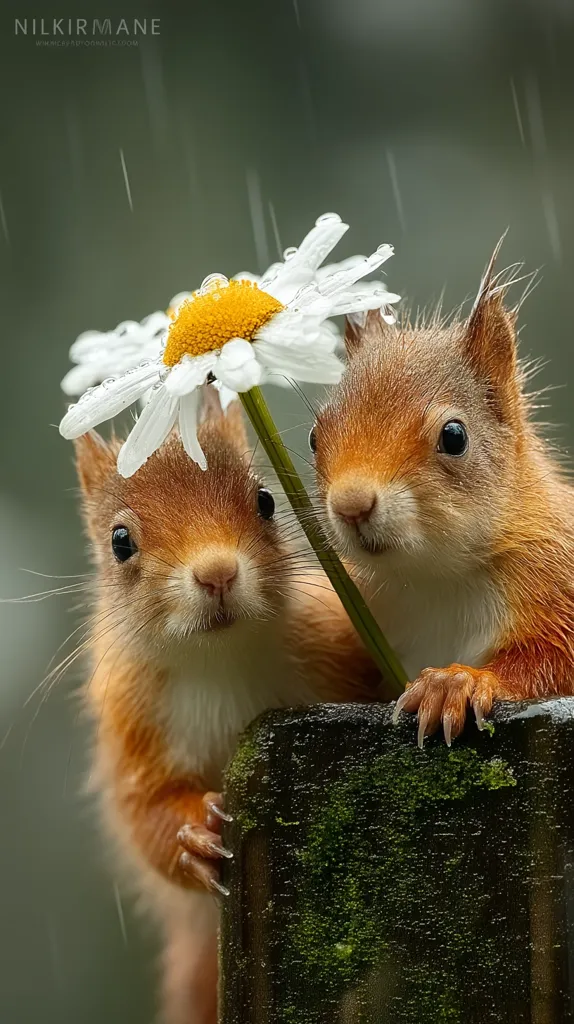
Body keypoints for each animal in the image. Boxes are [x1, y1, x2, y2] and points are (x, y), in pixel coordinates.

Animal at [73, 390, 379, 1024]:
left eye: (265, 500)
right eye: (120, 541)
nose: (216, 572)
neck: (219, 662)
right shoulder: (132, 726)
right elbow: (142, 814)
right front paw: (191, 836)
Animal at [311, 241, 574, 746]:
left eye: (454, 436)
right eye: (315, 438)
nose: (352, 505)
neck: (438, 578)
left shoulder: (555, 581)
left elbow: (551, 662)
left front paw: (457, 682)